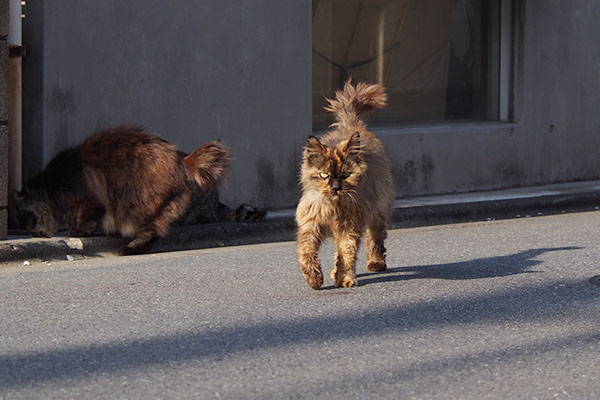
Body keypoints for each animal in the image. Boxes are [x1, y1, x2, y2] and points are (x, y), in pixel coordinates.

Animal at [12, 126, 232, 255]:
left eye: (28, 218)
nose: (32, 233)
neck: (54, 186)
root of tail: (184, 160)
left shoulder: (90, 200)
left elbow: (87, 218)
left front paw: (79, 231)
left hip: (141, 205)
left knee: (152, 233)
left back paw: (127, 249)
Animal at [296, 79, 394, 290]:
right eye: (324, 174)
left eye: (346, 175)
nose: (336, 188)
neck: (334, 205)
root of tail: (353, 125)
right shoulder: (311, 221)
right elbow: (306, 252)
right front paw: (315, 279)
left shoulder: (350, 221)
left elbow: (347, 251)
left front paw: (346, 279)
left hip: (377, 208)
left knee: (375, 237)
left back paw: (376, 263)